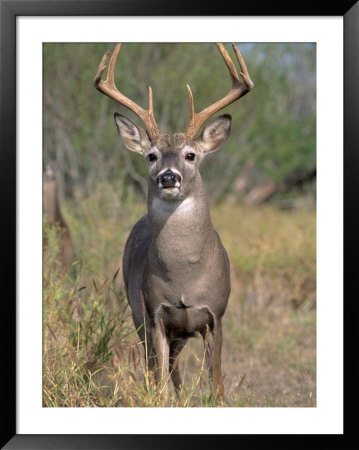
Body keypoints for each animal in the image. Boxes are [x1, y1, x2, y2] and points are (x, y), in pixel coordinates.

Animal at [94, 42, 255, 402]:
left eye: (190, 155)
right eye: (151, 156)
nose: (168, 177)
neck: (184, 278)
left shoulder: (215, 315)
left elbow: (216, 386)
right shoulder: (155, 315)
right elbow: (159, 386)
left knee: (175, 370)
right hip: (138, 314)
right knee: (158, 369)